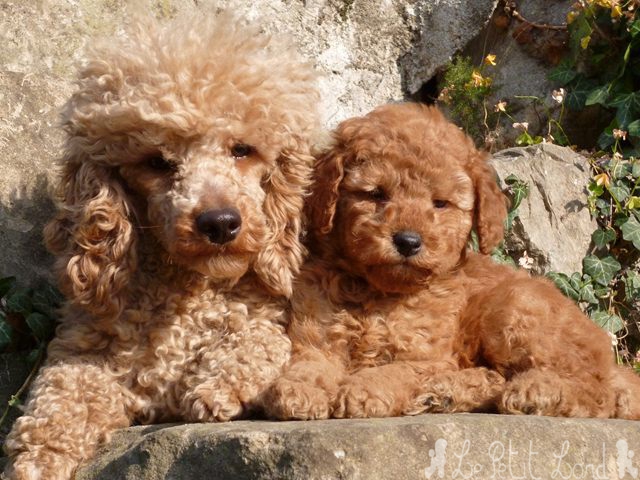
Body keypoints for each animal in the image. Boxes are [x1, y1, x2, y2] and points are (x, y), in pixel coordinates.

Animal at [6, 12, 320, 480]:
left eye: (242, 150)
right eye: (156, 162)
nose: (220, 222)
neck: (185, 291)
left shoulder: (266, 316)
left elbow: (257, 341)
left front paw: (215, 386)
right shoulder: (82, 350)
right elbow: (57, 401)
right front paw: (35, 461)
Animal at [262, 102, 640, 420]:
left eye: (440, 203)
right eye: (375, 194)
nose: (408, 241)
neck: (378, 294)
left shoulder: (429, 357)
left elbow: (397, 371)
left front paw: (364, 389)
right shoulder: (317, 339)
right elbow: (311, 364)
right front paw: (300, 389)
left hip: (512, 307)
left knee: (598, 394)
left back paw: (537, 392)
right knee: (496, 376)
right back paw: (445, 395)